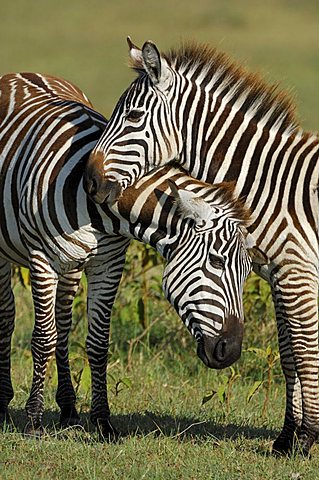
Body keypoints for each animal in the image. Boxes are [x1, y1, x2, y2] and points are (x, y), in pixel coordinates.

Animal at [0, 73, 256, 436]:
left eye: (248, 272)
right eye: (216, 262)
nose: (231, 352)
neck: (97, 206)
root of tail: (25, 74)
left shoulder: (108, 264)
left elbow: (96, 342)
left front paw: (102, 421)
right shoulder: (41, 260)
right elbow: (43, 338)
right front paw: (34, 419)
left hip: (72, 265)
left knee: (63, 323)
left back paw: (68, 408)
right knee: (8, 315)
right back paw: (3, 403)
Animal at [84, 37, 319, 454]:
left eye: (133, 117)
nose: (90, 181)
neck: (274, 185)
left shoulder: (297, 273)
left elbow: (306, 354)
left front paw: (306, 439)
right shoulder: (277, 275)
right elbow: (289, 355)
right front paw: (285, 439)